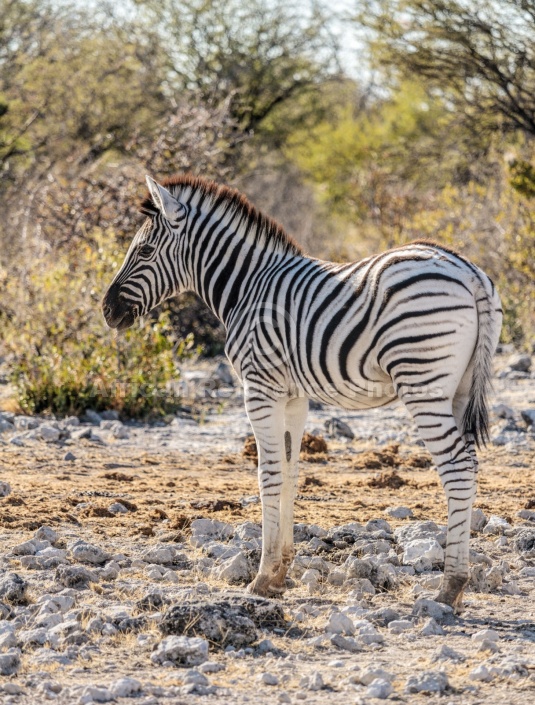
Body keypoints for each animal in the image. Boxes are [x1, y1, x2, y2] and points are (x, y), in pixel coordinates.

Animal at [102, 175, 504, 612]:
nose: (106, 311)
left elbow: (268, 475)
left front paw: (261, 578)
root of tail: (469, 271)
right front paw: (281, 572)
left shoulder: (260, 388)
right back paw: (456, 587)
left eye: (144, 251)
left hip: (422, 382)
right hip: (459, 389)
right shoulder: (294, 396)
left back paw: (449, 587)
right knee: (468, 465)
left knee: (457, 467)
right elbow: (291, 471)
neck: (247, 287)